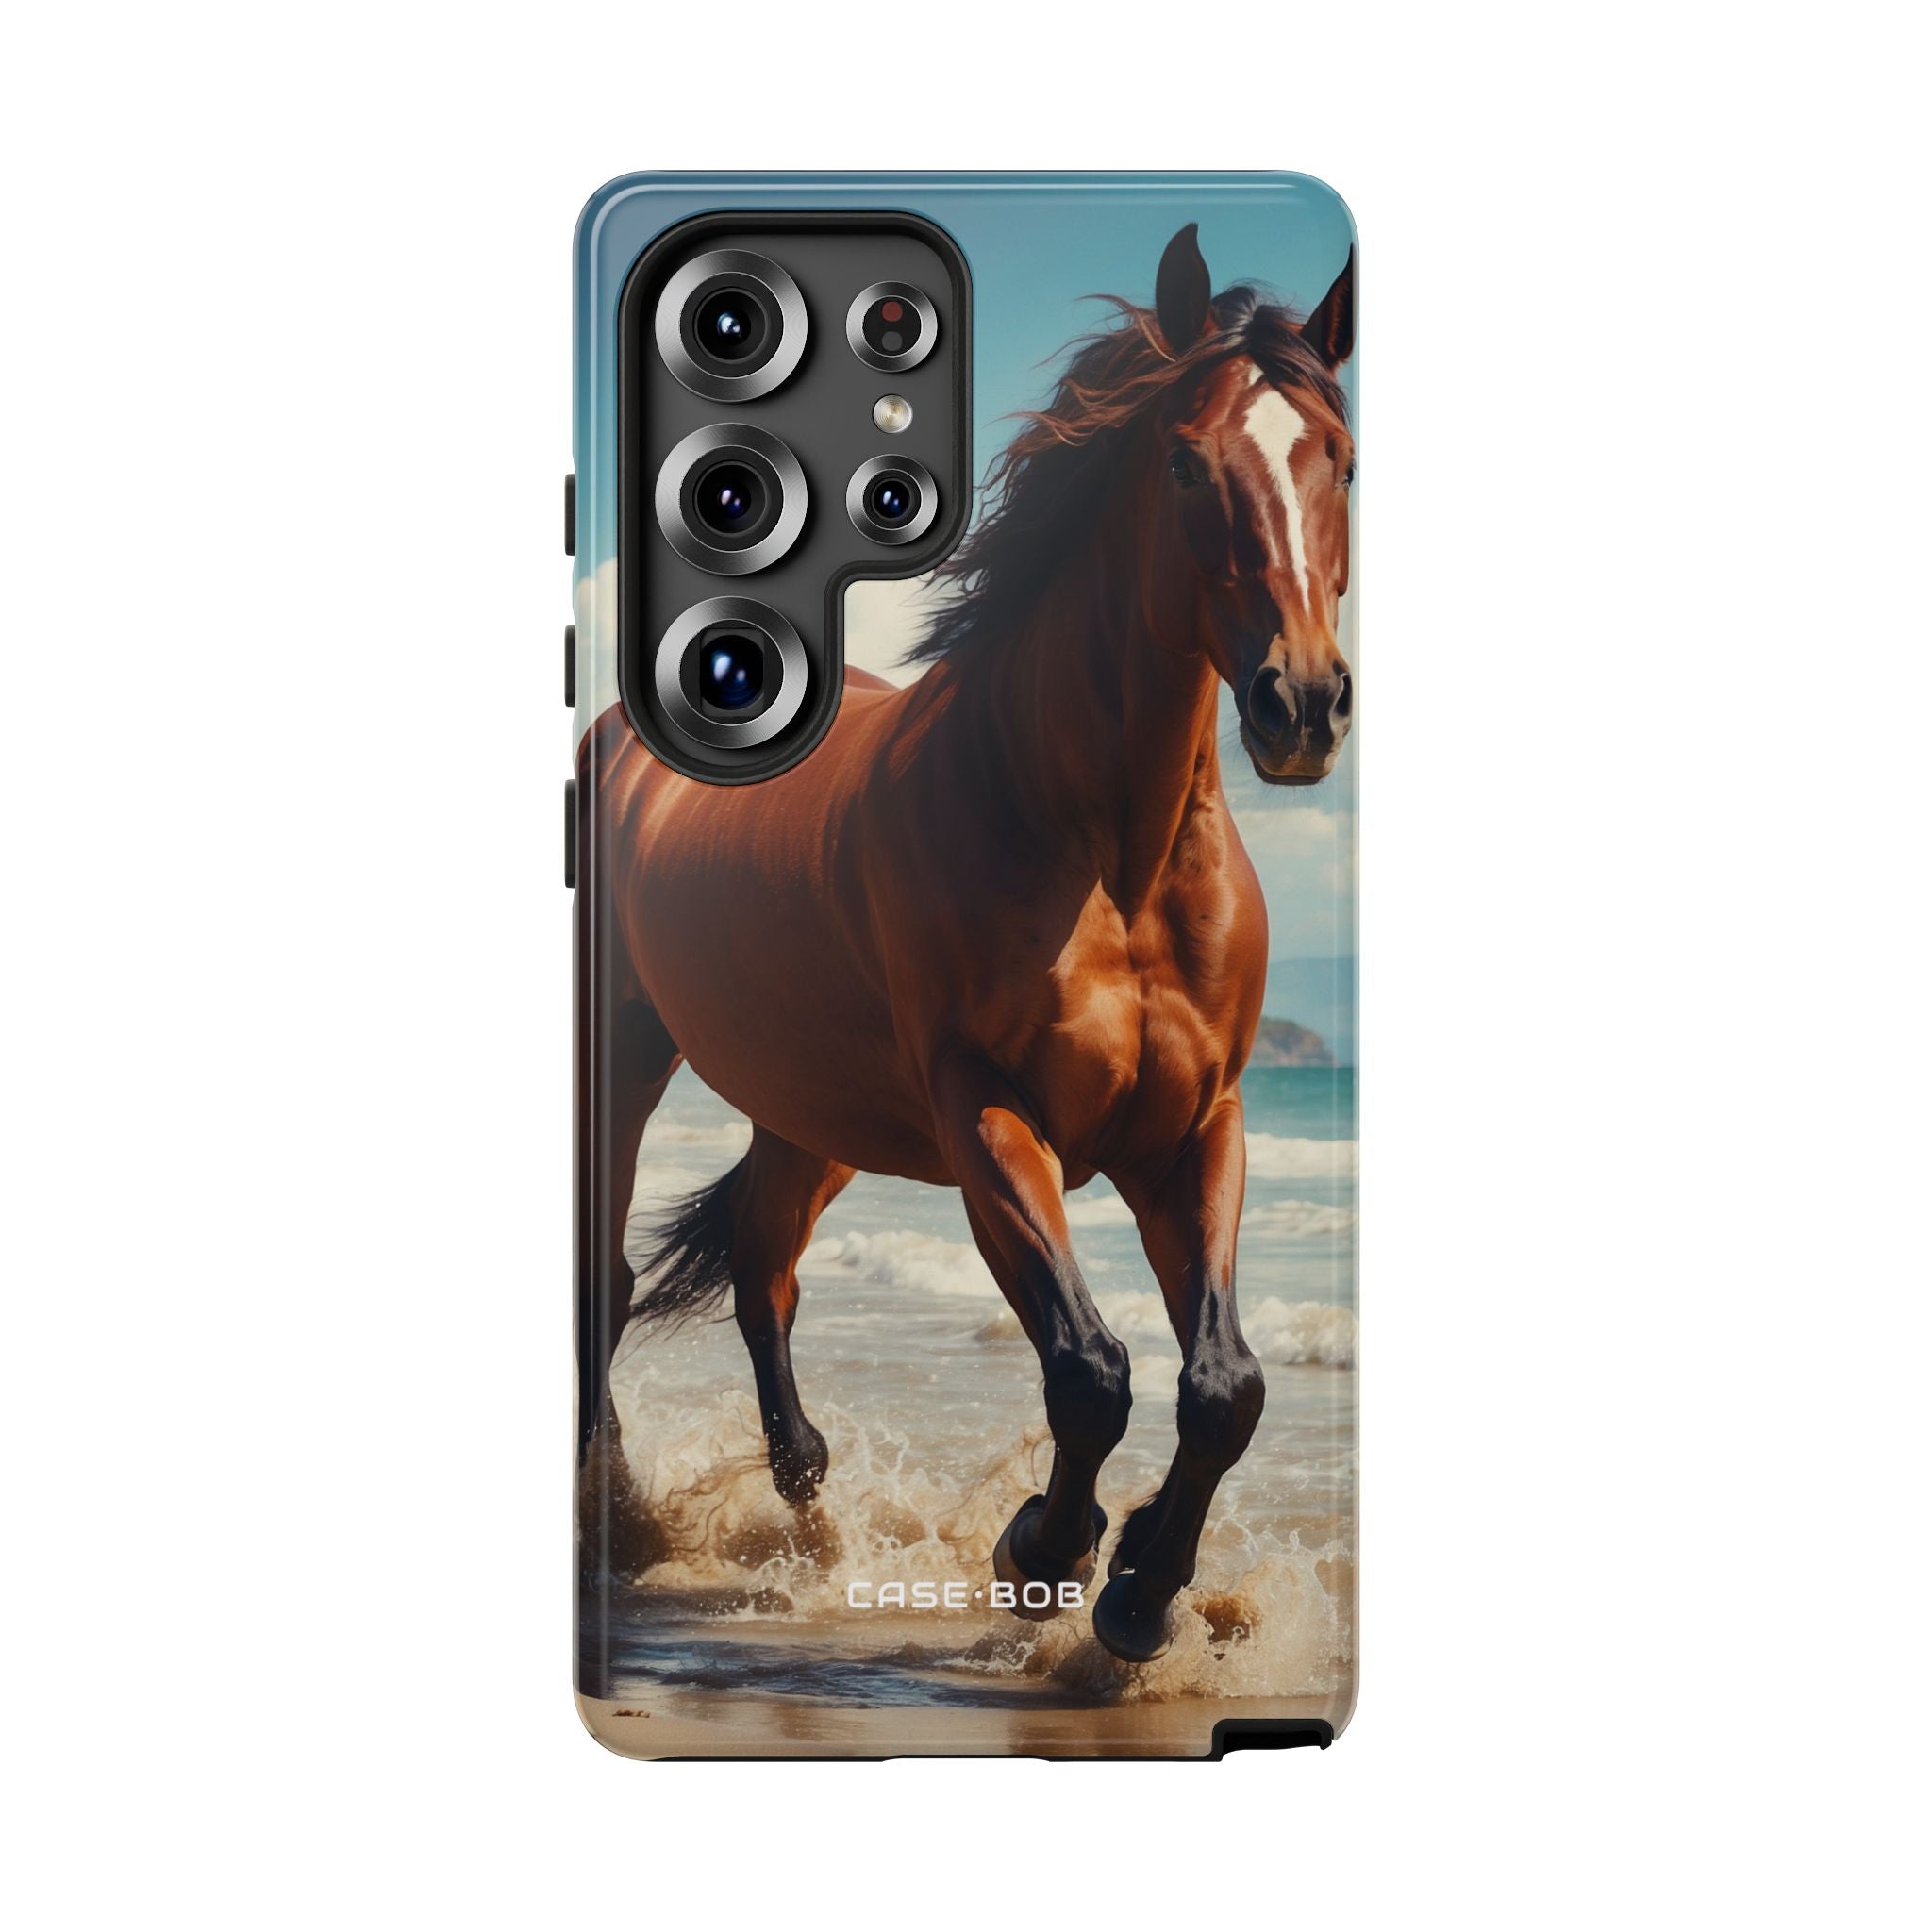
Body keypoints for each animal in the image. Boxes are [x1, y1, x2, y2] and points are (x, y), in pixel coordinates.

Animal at [576, 222, 1355, 1663]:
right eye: (1182, 460)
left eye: (1339, 457)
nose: (1303, 704)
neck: (1103, 851)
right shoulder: (987, 1115)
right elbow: (1091, 1371)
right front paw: (1046, 1550)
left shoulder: (1197, 1128)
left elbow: (1222, 1385)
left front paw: (1142, 1591)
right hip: (625, 1062)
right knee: (603, 1277)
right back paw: (620, 1522)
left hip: (808, 1112)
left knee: (763, 1274)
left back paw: (808, 1516)